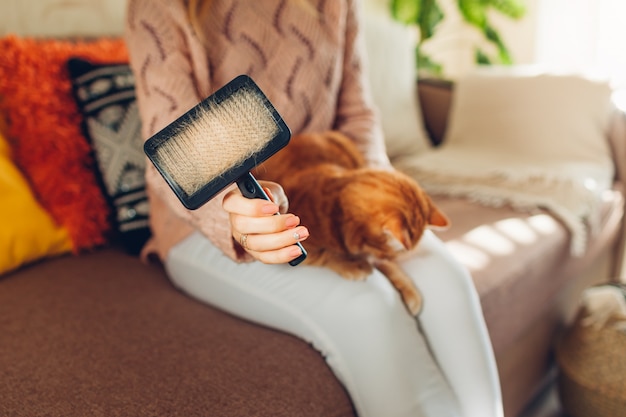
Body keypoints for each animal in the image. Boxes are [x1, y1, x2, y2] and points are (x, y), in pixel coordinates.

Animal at [254, 131, 448, 316]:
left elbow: (390, 268)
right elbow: (325, 254)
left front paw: (408, 289)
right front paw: (353, 266)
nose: (389, 257)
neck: (335, 209)